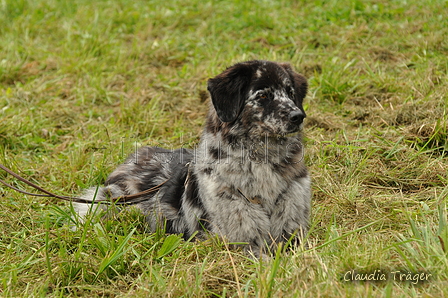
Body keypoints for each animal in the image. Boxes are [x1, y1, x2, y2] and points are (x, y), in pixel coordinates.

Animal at [73, 60, 312, 256]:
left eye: (291, 93)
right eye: (263, 95)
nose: (298, 116)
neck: (261, 163)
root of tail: (132, 158)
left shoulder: (293, 234)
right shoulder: (239, 242)